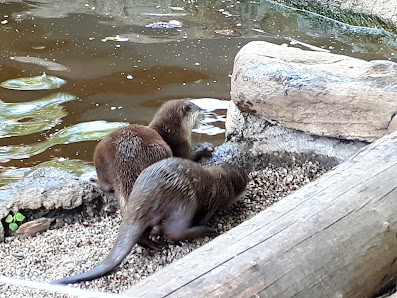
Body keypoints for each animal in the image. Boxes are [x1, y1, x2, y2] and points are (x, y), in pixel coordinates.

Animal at [50, 157, 248, 286]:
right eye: (245, 177)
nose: (247, 175)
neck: (221, 183)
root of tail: (144, 198)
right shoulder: (213, 202)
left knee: (144, 234)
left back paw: (155, 245)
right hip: (184, 201)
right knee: (174, 232)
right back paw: (206, 230)